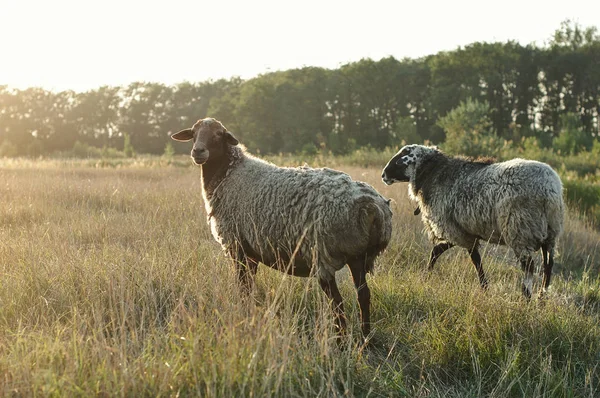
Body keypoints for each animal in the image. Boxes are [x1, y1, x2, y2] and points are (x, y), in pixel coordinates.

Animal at [171, 116, 394, 338]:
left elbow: (242, 287)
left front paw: (243, 316)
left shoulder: (237, 245)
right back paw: (365, 338)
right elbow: (249, 288)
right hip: (358, 256)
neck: (228, 173)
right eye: (193, 133)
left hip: (324, 255)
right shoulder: (251, 251)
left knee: (337, 302)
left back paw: (340, 340)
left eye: (218, 134)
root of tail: (373, 207)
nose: (198, 151)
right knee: (363, 295)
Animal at [382, 144, 564, 298]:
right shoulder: (462, 230)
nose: (383, 175)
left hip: (520, 229)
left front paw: (484, 288)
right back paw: (541, 298)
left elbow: (469, 259)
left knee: (529, 267)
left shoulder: (454, 229)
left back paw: (526, 297)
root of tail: (549, 190)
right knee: (548, 266)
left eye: (401, 158)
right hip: (550, 233)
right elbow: (446, 252)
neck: (433, 176)